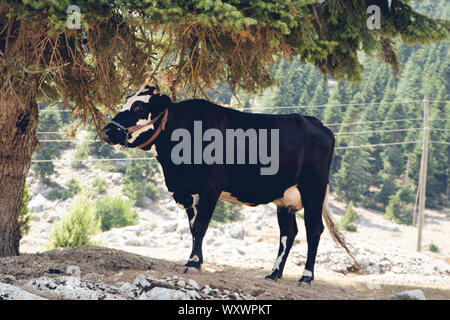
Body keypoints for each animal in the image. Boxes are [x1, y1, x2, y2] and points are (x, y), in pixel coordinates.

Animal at [100, 85, 356, 284]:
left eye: (139, 108)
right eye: (125, 102)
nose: (108, 130)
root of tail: (316, 123)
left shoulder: (210, 188)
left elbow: (201, 226)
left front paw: (192, 263)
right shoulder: (186, 191)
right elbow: (193, 228)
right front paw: (197, 261)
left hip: (313, 190)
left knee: (313, 231)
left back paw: (306, 276)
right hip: (285, 200)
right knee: (288, 233)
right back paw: (274, 273)